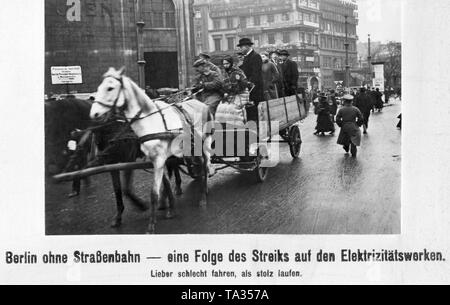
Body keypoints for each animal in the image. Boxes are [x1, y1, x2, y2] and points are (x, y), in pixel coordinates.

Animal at [43, 96, 181, 227]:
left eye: (53, 123)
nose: (54, 167)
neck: (112, 129)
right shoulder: (111, 163)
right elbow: (117, 190)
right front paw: (118, 215)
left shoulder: (129, 159)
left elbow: (126, 189)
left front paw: (141, 205)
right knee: (169, 172)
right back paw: (166, 199)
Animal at [90, 67, 214, 233]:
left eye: (110, 88)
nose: (94, 114)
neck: (151, 122)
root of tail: (200, 103)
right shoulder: (154, 160)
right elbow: (161, 184)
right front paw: (168, 207)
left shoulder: (155, 159)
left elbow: (152, 192)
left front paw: (151, 223)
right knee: (196, 164)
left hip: (204, 143)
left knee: (205, 164)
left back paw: (203, 196)